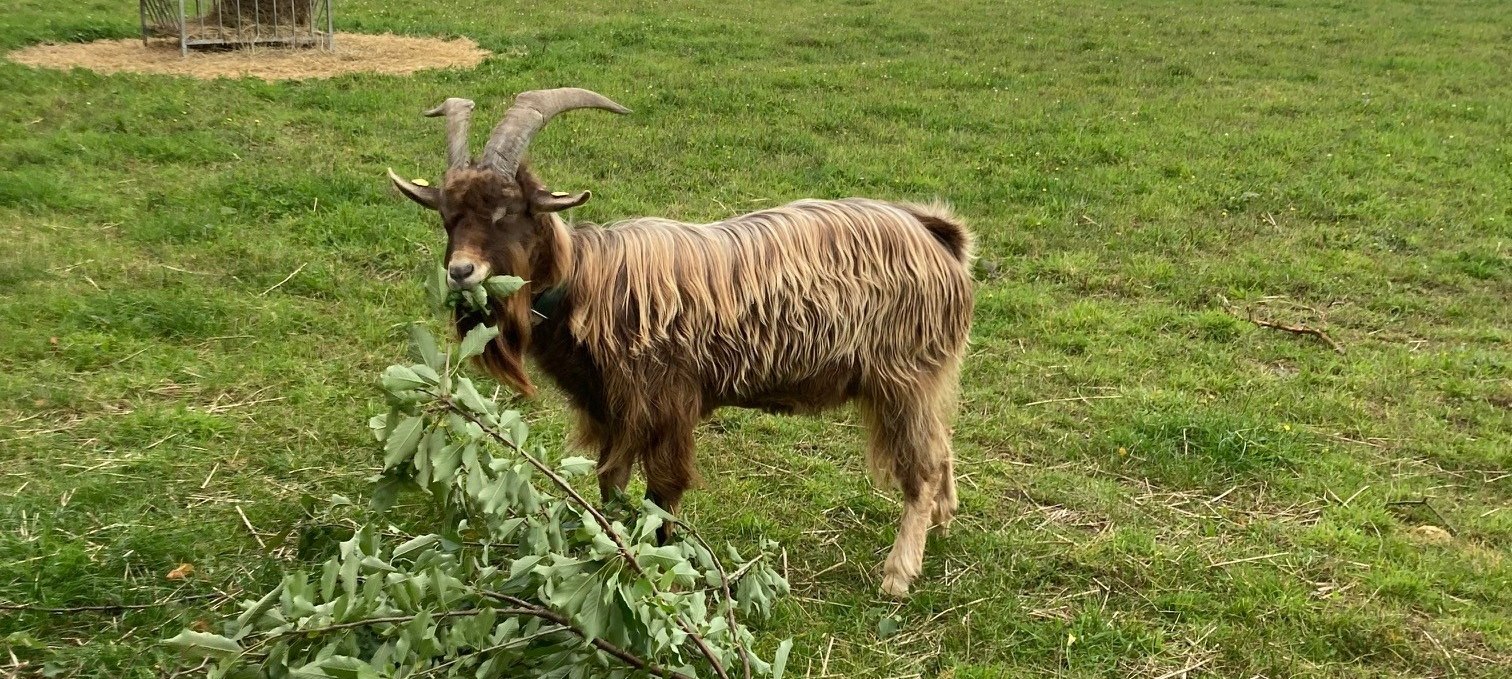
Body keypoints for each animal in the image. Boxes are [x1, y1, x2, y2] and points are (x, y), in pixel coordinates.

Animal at [387, 86, 979, 592]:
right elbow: (611, 485)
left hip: (904, 376)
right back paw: (944, 521)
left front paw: (656, 568)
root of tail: (939, 238)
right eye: (447, 217)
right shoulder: (613, 410)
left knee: (923, 466)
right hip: (924, 378)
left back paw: (899, 573)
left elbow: (662, 494)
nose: (461, 272)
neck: (590, 282)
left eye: (508, 212)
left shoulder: (665, 403)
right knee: (942, 445)